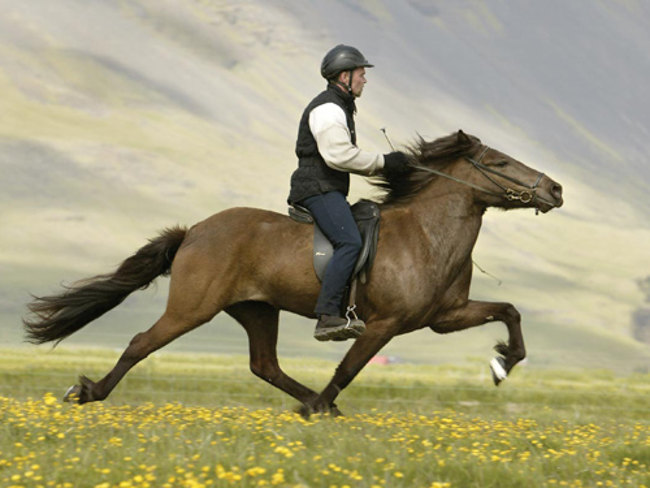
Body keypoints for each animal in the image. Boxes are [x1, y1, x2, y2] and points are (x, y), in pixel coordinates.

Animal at [23, 130, 563, 416]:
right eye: (500, 162)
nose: (555, 189)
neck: (426, 234)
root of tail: (194, 231)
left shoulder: (444, 317)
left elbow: (509, 311)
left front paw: (502, 363)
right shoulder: (384, 325)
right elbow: (348, 369)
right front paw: (320, 404)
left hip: (257, 310)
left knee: (265, 365)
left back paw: (316, 405)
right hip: (193, 308)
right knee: (141, 343)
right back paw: (89, 391)